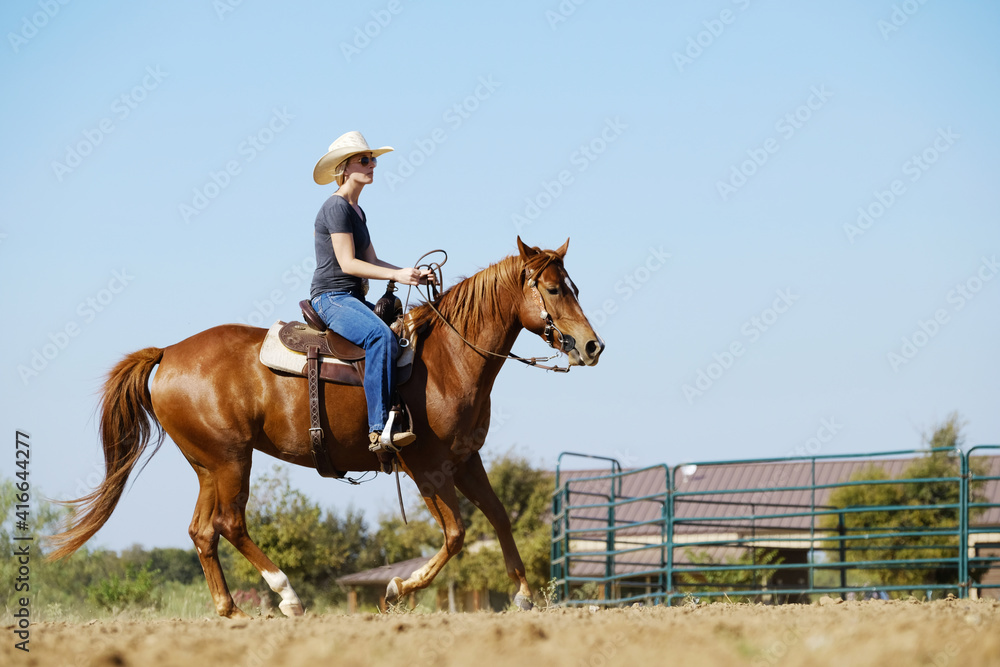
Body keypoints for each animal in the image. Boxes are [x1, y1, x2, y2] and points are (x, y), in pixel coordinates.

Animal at [48, 237, 604, 618]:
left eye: (574, 287)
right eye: (553, 288)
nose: (592, 345)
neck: (449, 359)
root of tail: (168, 353)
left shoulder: (467, 459)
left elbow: (499, 516)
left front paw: (524, 595)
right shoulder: (425, 467)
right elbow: (456, 534)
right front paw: (397, 591)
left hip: (208, 465)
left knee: (203, 530)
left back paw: (231, 610)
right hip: (231, 460)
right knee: (229, 523)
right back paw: (288, 596)